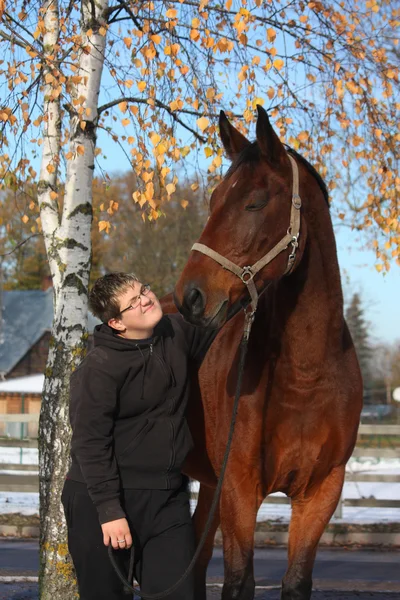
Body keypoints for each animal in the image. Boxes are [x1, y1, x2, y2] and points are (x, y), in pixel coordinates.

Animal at [167, 108, 364, 600]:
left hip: (209, 485)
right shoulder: (240, 489)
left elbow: (295, 581)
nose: (190, 296)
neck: (306, 374)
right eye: (215, 198)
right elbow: (240, 581)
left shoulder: (320, 493)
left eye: (254, 202)